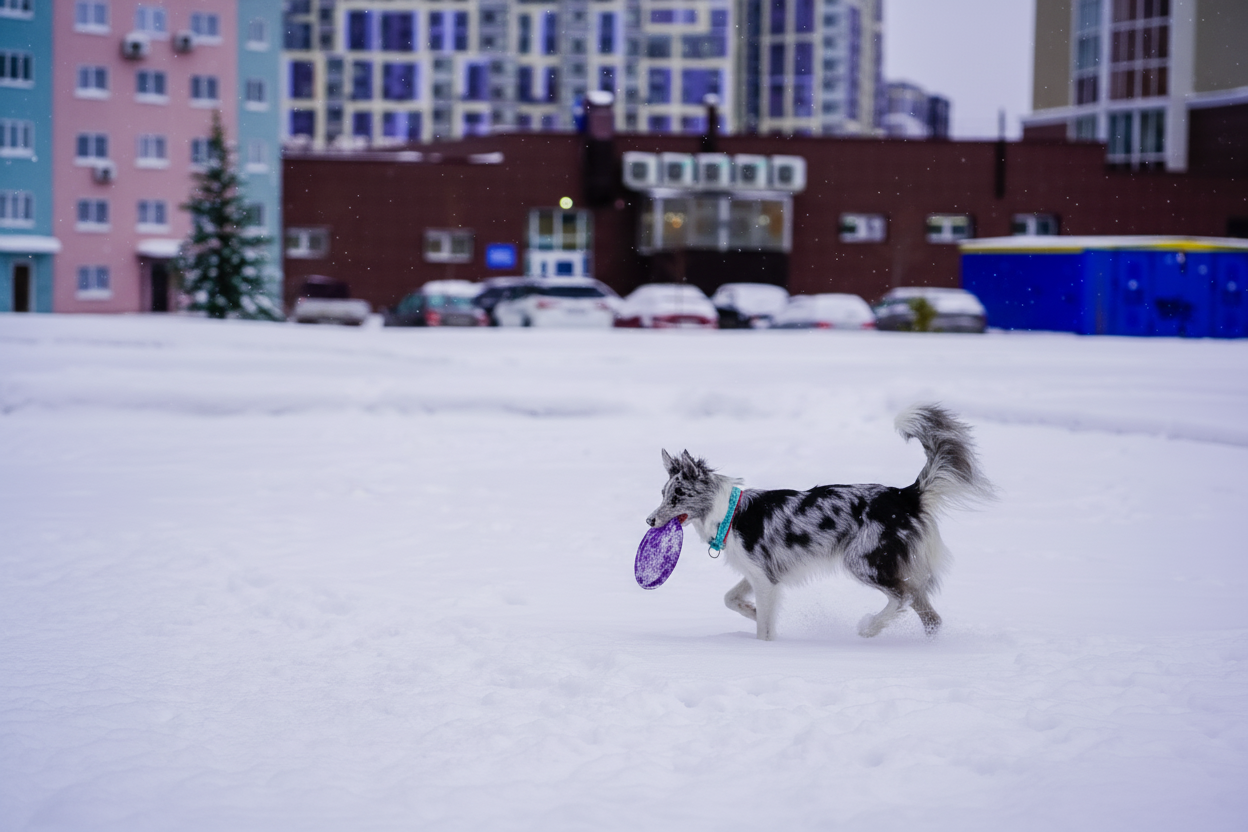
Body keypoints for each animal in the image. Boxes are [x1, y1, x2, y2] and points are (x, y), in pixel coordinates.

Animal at [645, 404, 993, 640]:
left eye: (677, 495)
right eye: (663, 493)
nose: (649, 520)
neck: (728, 513)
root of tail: (904, 495)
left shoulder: (766, 580)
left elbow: (763, 628)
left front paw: (762, 642)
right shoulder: (762, 574)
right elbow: (731, 598)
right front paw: (752, 612)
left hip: (864, 559)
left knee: (903, 597)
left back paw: (869, 627)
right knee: (930, 615)